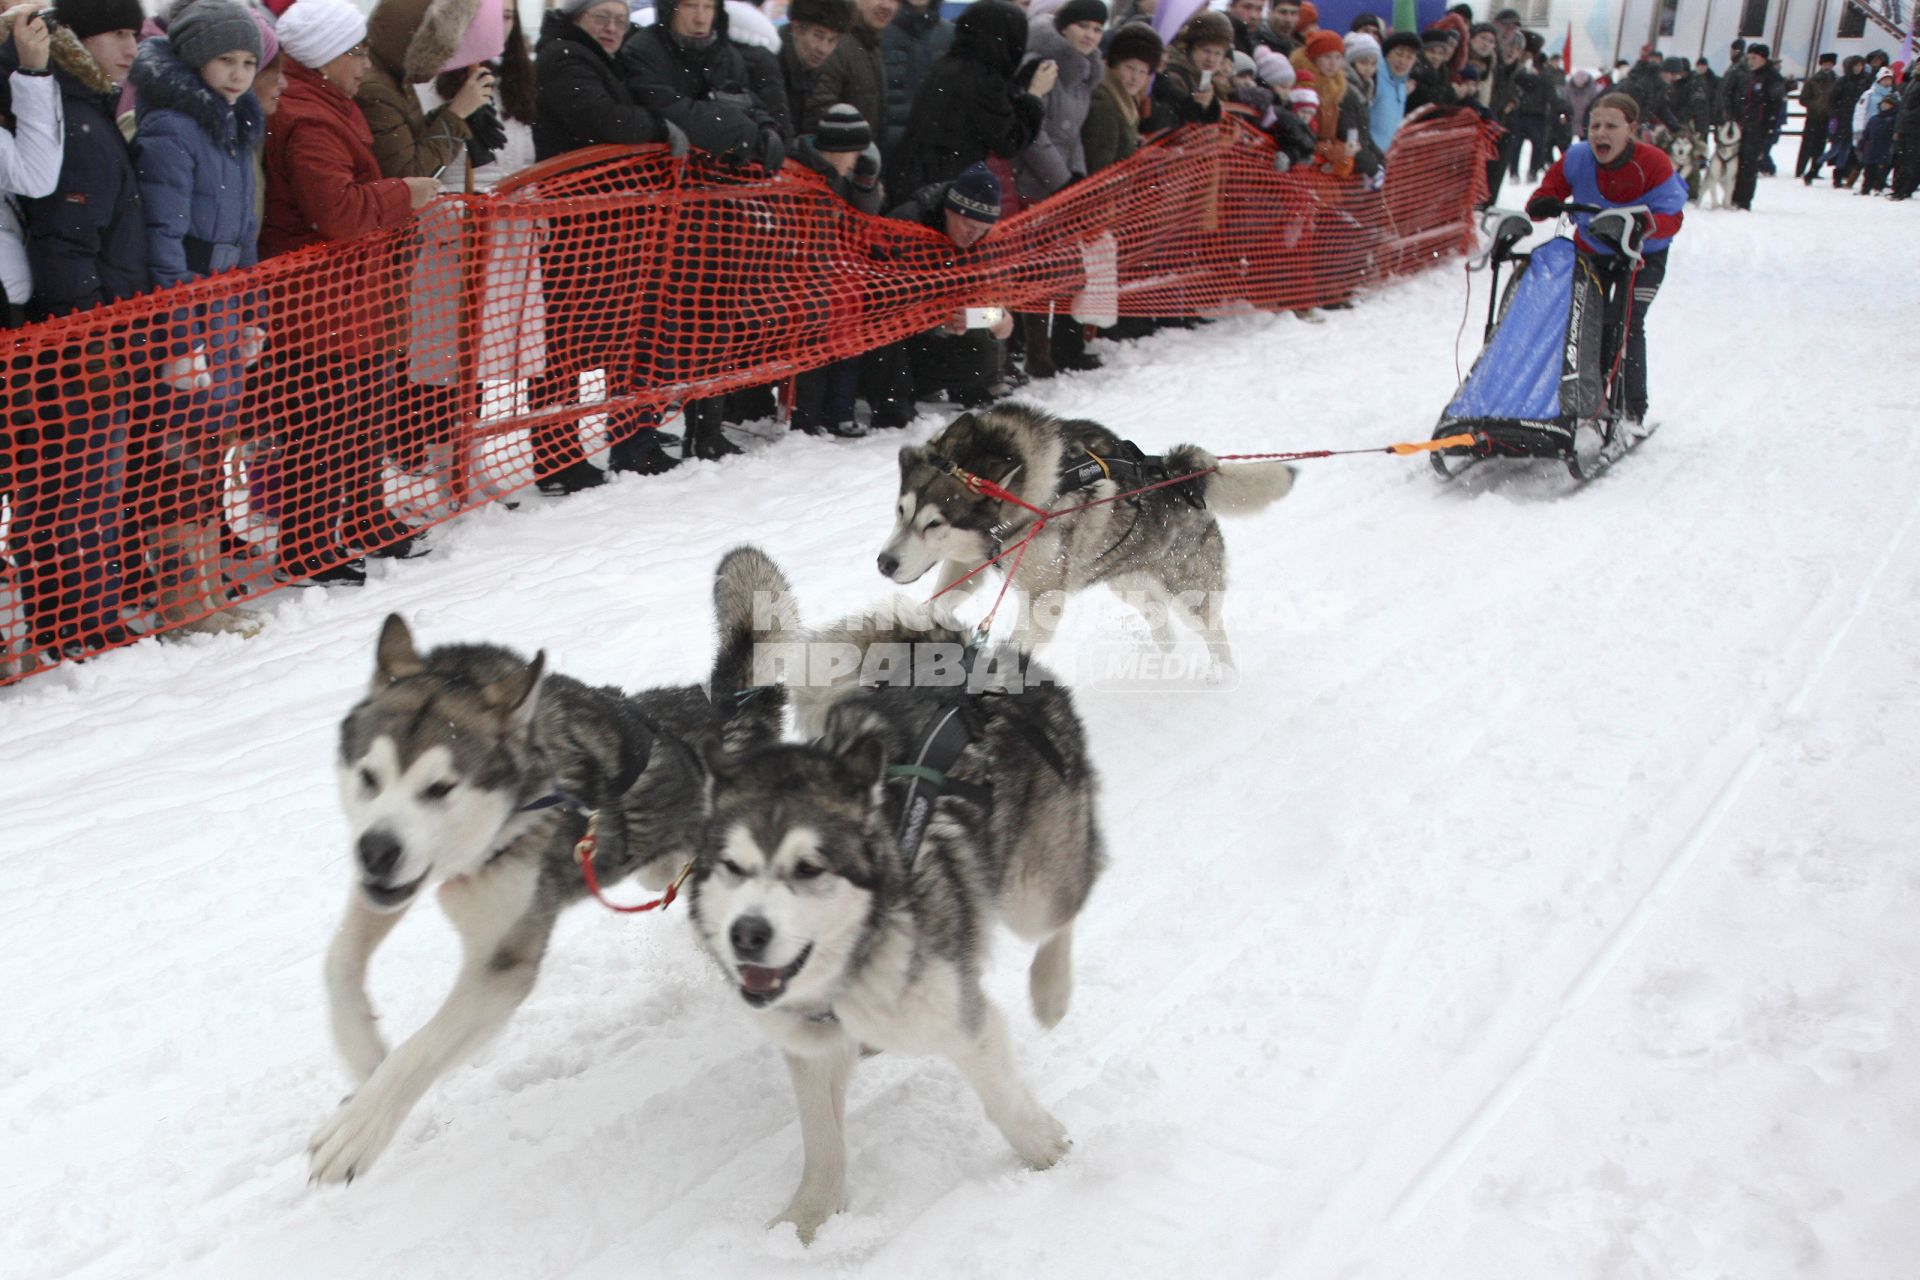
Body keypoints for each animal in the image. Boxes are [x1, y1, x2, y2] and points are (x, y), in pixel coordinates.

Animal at [311, 556, 791, 1189]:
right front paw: (362, 1050)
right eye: (369, 777)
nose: (375, 851)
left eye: (440, 788)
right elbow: (340, 960)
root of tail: (723, 715)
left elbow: (423, 1049)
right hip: (655, 870)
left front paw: (358, 1130)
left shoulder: (502, 965)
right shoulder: (399, 885)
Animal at [691, 548, 1113, 1243]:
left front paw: (1048, 1153)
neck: (847, 973)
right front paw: (802, 1228)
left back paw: (1050, 993)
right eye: (734, 867)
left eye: (809, 868)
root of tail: (972, 661)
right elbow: (822, 1146)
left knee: (1067, 907)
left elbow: (1003, 1098)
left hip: (1033, 888)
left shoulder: (963, 1021)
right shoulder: (810, 1051)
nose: (746, 935)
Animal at [879, 404, 1297, 675]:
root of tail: (1180, 473)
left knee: (1211, 631)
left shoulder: (1043, 599)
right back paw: (1163, 655)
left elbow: (1017, 643)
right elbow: (938, 602)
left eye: (934, 523)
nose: (884, 564)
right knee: (1158, 618)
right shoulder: (970, 561)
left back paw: (1222, 674)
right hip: (1127, 581)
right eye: (900, 511)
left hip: (1188, 592)